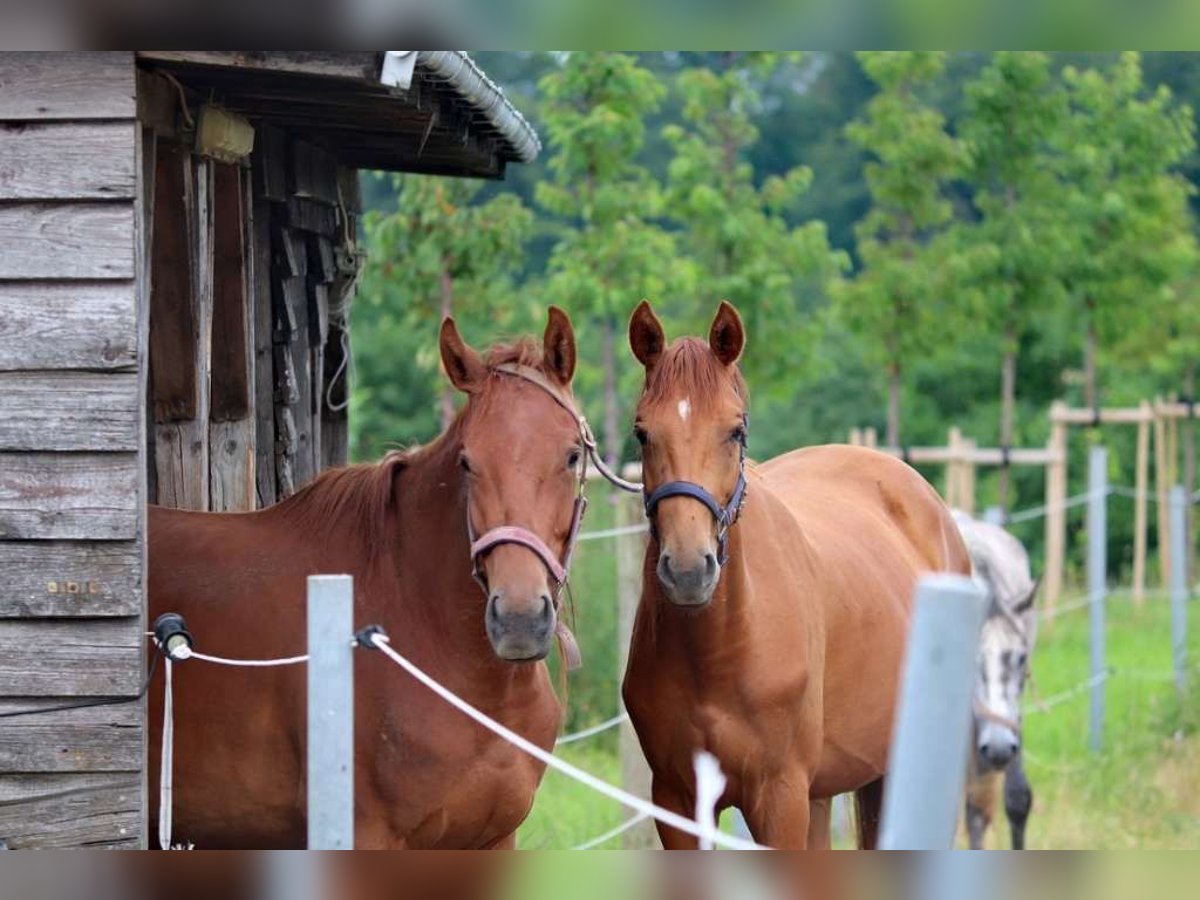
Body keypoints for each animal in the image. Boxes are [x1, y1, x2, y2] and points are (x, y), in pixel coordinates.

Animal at [624, 303, 969, 854]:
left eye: (736, 431)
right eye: (642, 433)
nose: (688, 570)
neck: (719, 651)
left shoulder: (778, 797)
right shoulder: (676, 801)